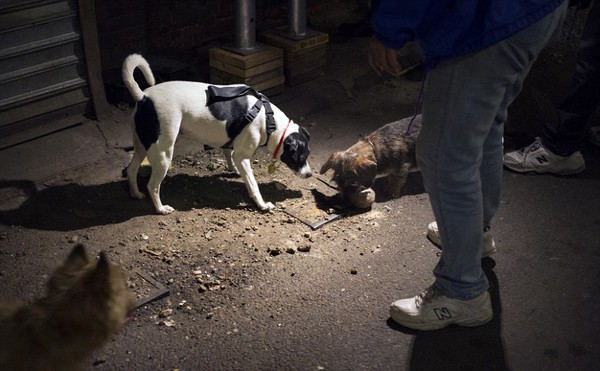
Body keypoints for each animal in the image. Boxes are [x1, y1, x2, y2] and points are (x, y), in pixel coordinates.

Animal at [120, 53, 312, 214]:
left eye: (307, 154)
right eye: (301, 157)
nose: (310, 174)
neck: (268, 118)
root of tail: (143, 97)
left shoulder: (231, 144)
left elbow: (229, 155)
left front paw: (234, 170)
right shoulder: (243, 156)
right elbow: (253, 185)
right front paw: (262, 204)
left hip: (142, 146)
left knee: (131, 170)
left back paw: (135, 194)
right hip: (163, 153)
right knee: (152, 185)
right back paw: (161, 208)